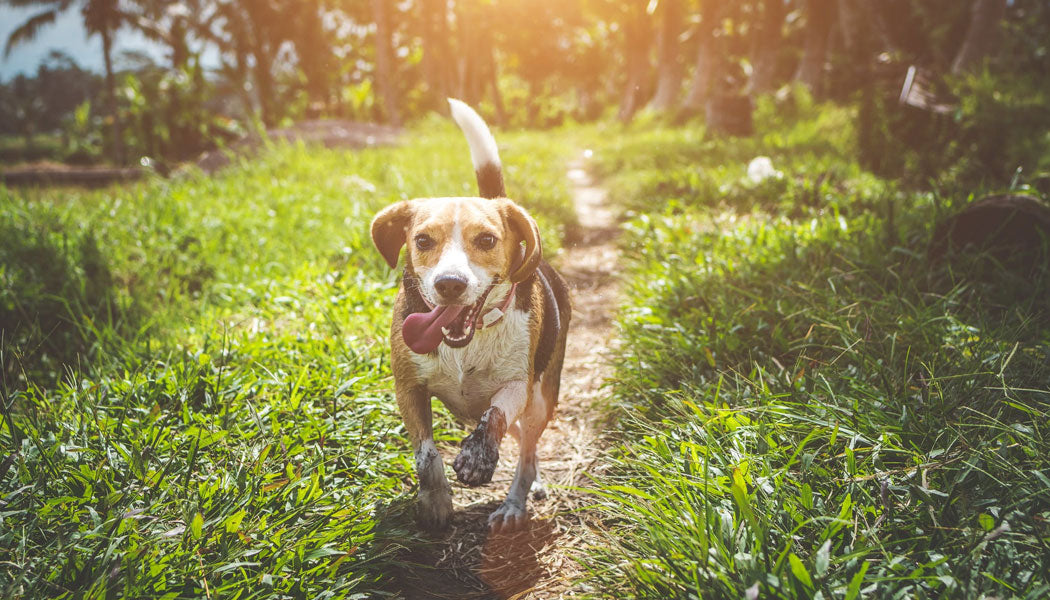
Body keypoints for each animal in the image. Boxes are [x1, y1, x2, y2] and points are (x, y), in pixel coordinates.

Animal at [367, 100, 571, 533]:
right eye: (422, 240)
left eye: (487, 239)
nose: (450, 284)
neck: (467, 341)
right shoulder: (408, 388)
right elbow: (426, 454)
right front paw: (436, 501)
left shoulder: (517, 385)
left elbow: (494, 415)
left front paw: (478, 457)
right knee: (524, 446)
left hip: (541, 400)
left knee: (526, 453)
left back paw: (514, 503)